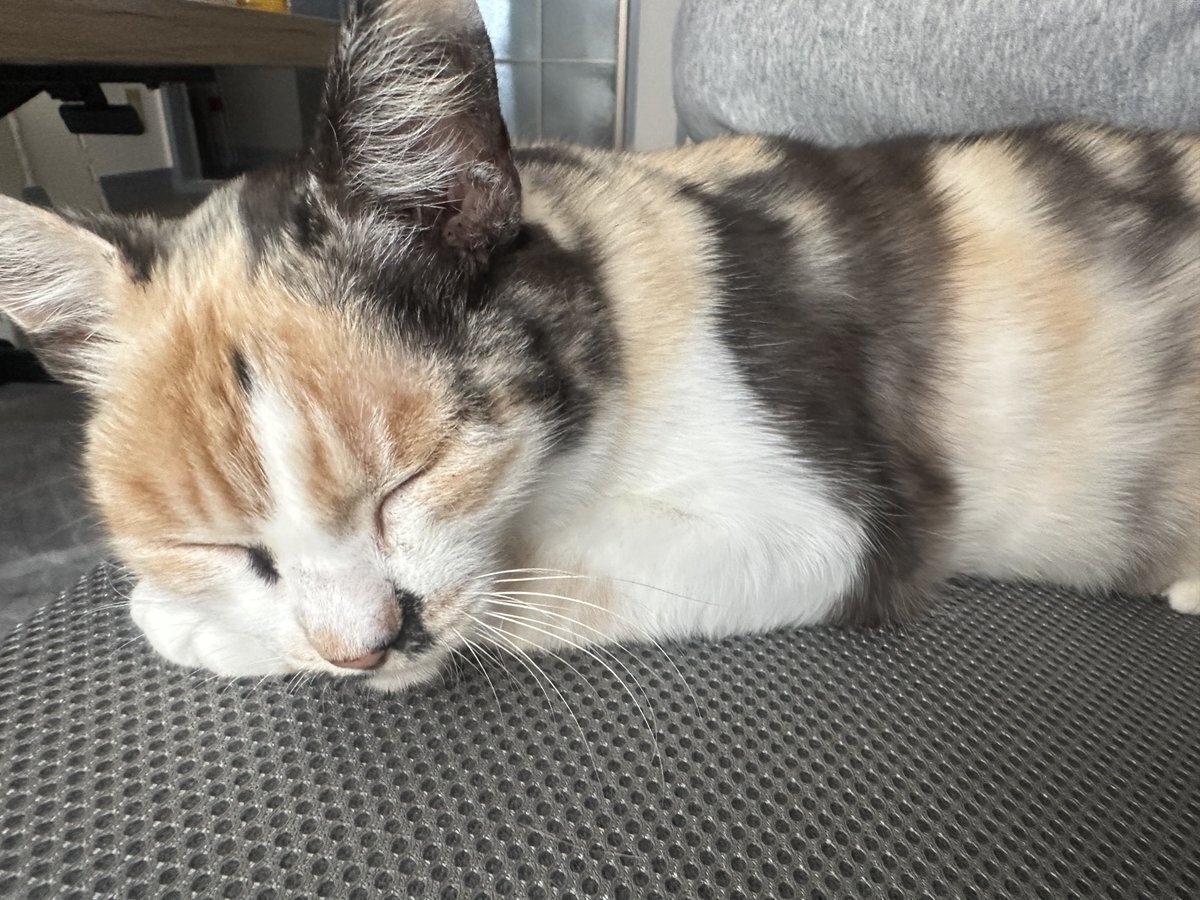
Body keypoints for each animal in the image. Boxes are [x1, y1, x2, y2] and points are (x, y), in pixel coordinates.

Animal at [2, 0, 1199, 693]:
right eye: (224, 545)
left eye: (411, 482)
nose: (360, 646)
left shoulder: (838, 524)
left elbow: (532, 582)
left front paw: (199, 628)